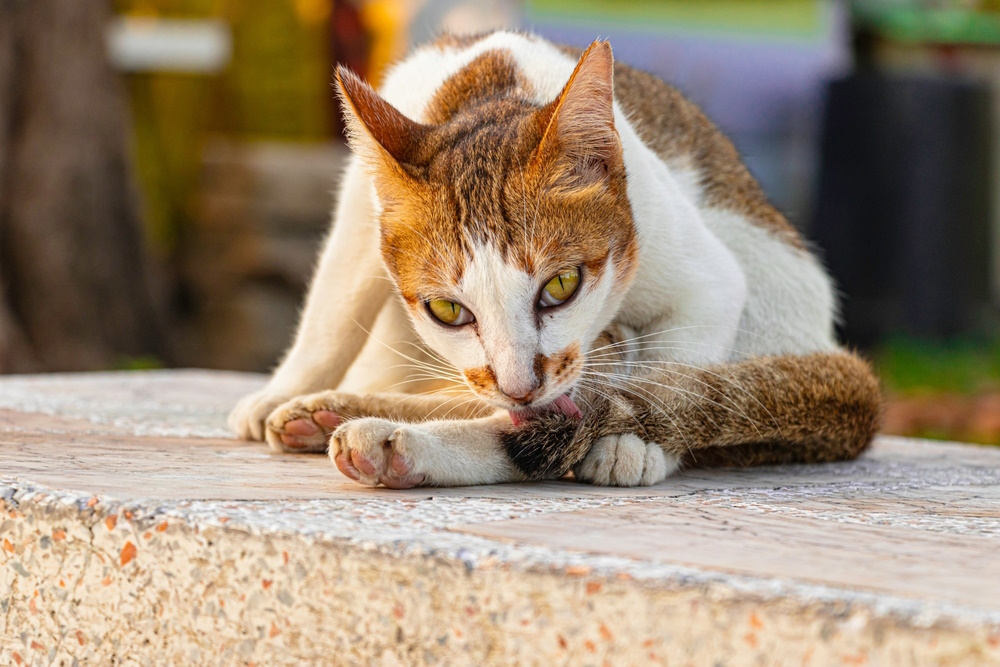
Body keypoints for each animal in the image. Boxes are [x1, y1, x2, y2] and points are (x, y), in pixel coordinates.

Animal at [229, 28, 884, 488]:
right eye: (448, 311)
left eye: (562, 285)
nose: (520, 386)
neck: (493, 86)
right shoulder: (361, 211)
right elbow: (334, 306)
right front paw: (287, 384)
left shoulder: (705, 275)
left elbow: (678, 372)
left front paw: (636, 441)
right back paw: (336, 418)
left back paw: (391, 441)